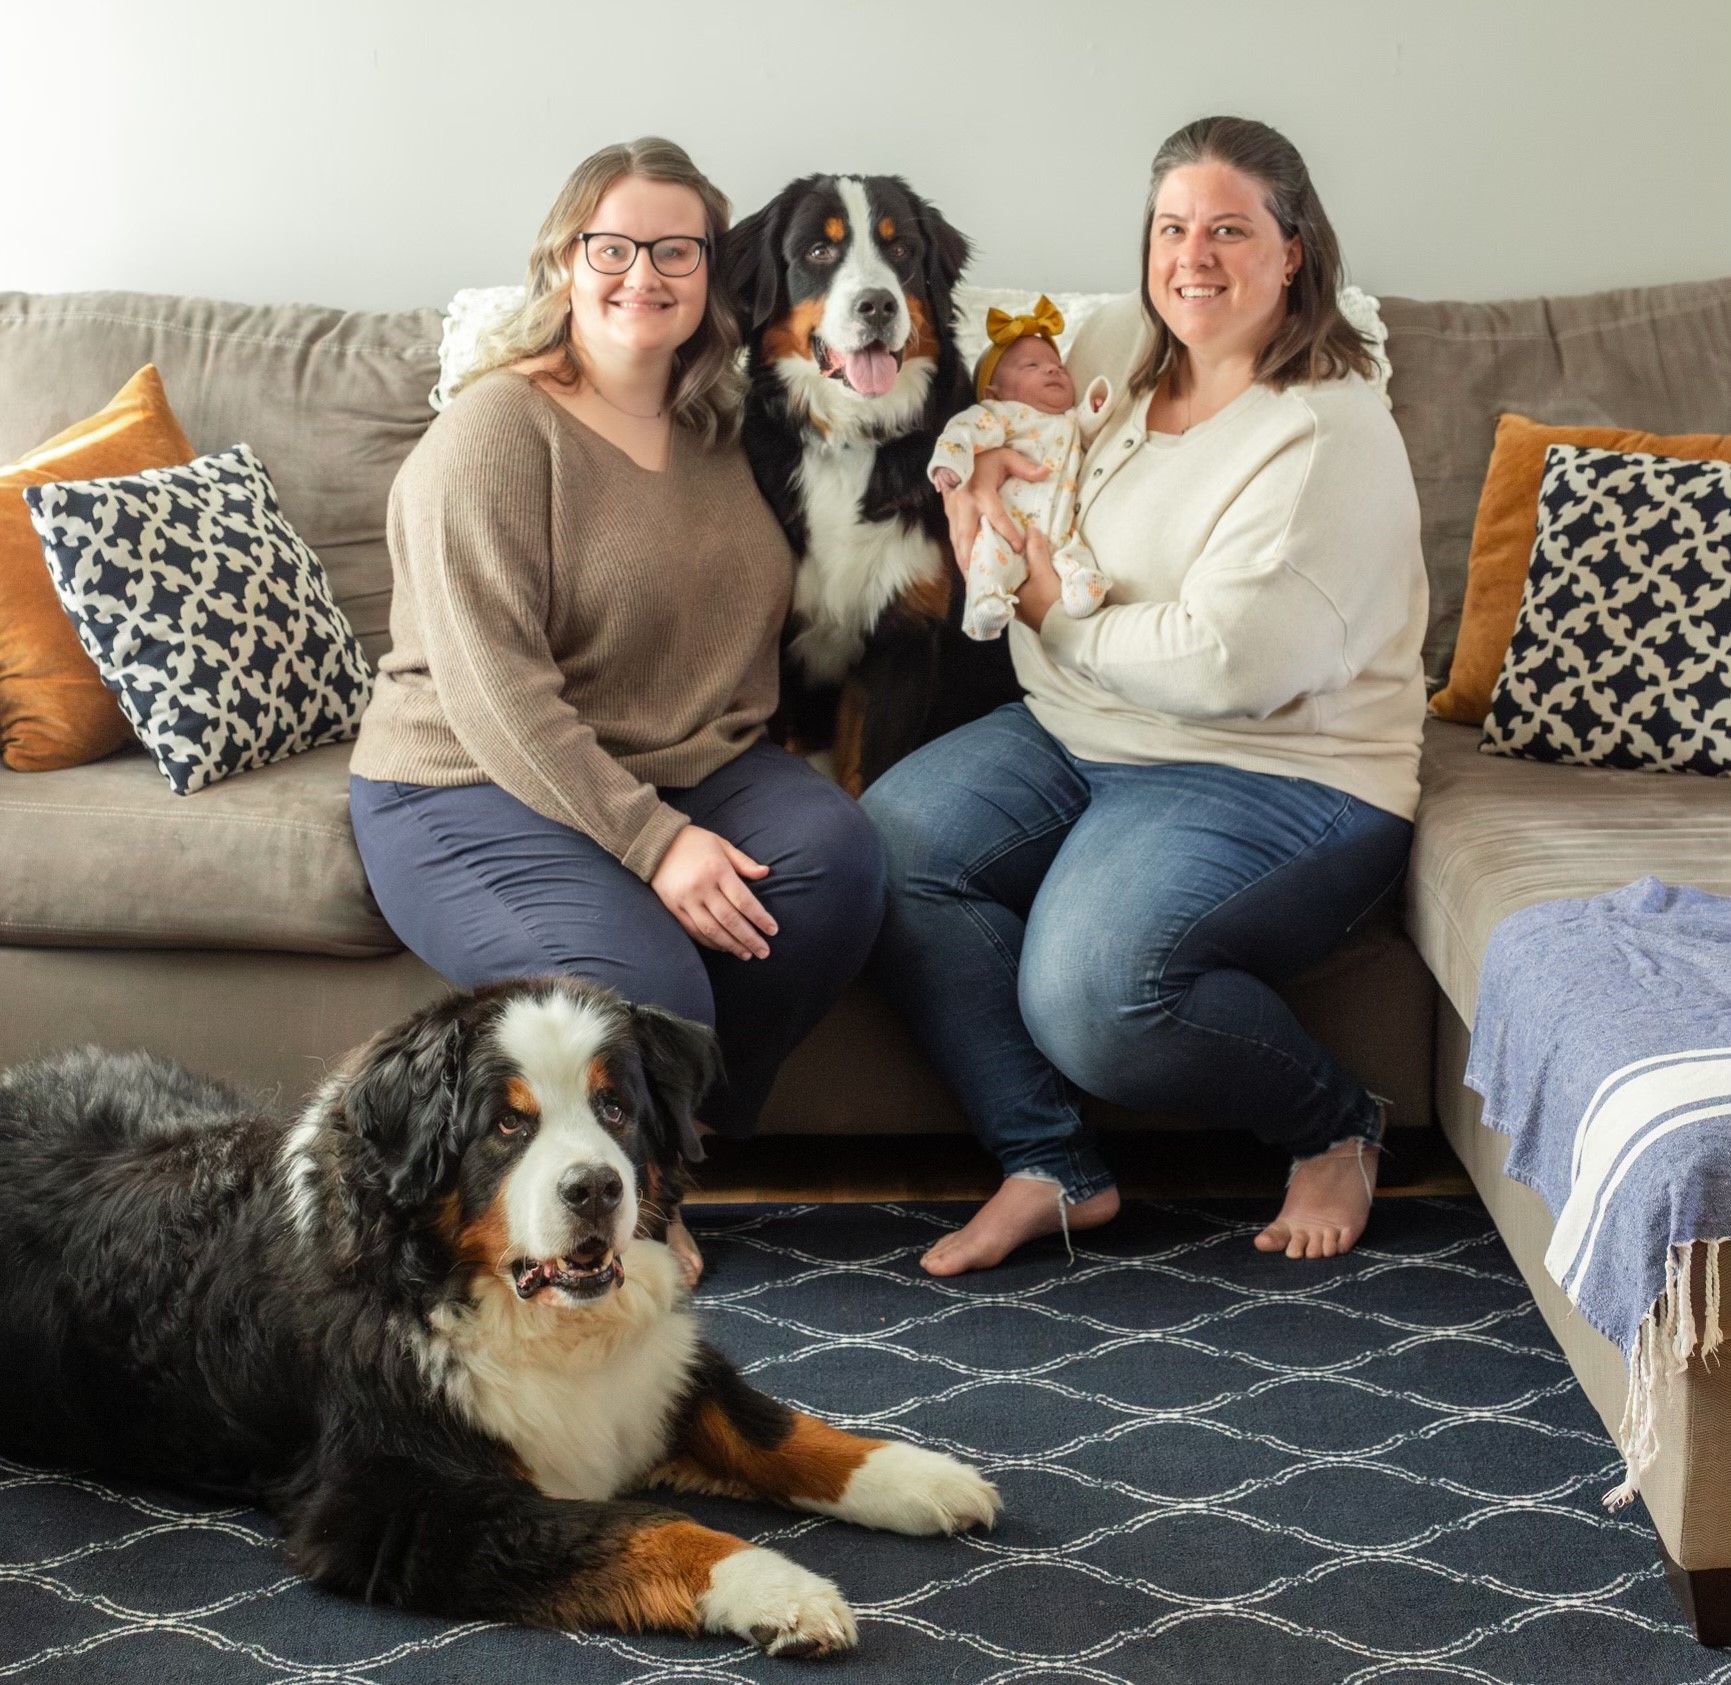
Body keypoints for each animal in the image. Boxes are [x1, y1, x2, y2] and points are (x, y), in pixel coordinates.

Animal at [0, 976, 1003, 1648]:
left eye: (614, 1107)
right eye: (507, 1126)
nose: (596, 1187)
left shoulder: (659, 1374)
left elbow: (770, 1425)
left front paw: (917, 1476)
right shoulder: (393, 1505)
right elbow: (636, 1526)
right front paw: (775, 1586)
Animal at [723, 174, 1017, 793]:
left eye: (901, 249)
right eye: (819, 250)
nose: (877, 304)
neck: (851, 439)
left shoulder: (903, 636)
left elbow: (871, 776)